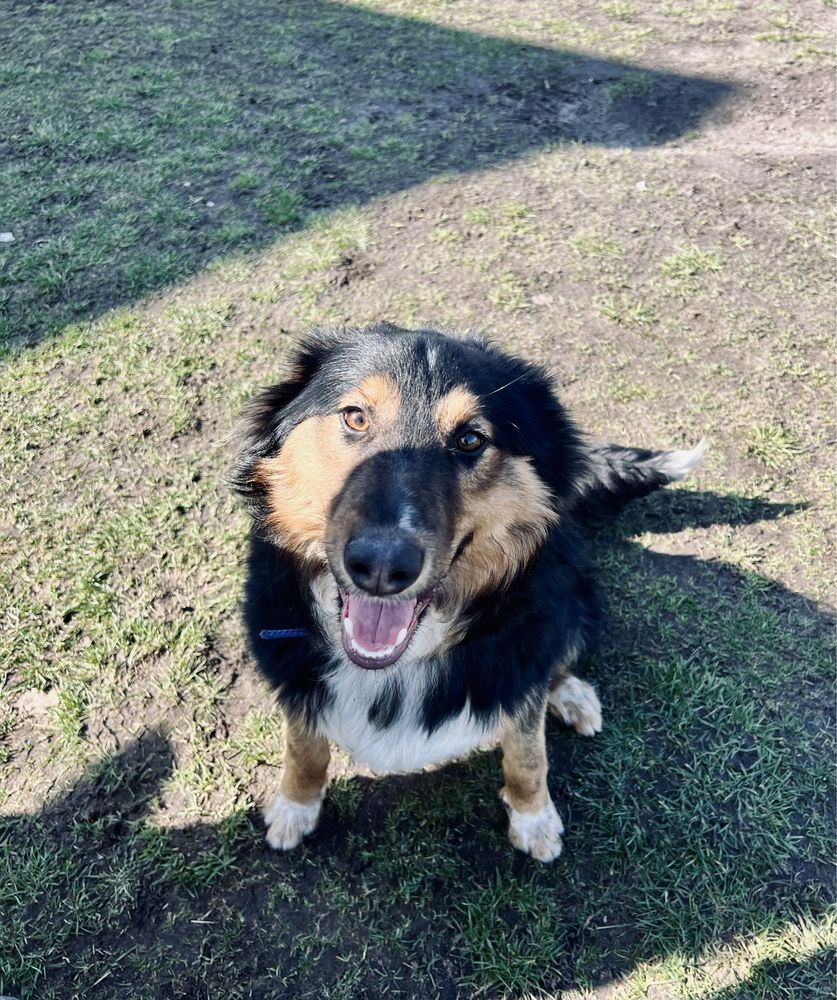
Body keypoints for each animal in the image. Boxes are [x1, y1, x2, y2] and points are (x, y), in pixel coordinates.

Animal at [230, 324, 704, 864]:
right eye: (355, 416)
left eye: (470, 439)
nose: (382, 567)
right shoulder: (292, 670)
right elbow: (303, 746)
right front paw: (296, 804)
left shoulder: (520, 663)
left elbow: (527, 753)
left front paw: (534, 819)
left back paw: (571, 694)